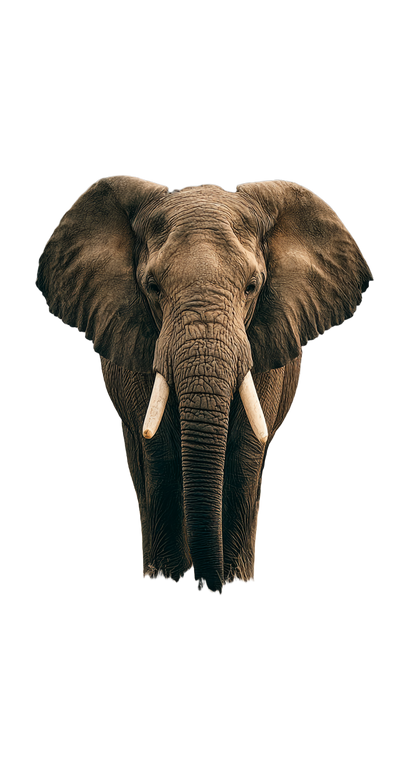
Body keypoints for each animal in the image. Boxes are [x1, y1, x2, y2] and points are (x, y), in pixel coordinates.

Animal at [33, 174, 376, 598]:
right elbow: (159, 445)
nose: (206, 587)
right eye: (152, 286)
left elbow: (247, 447)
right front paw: (166, 578)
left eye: (251, 286)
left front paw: (235, 581)